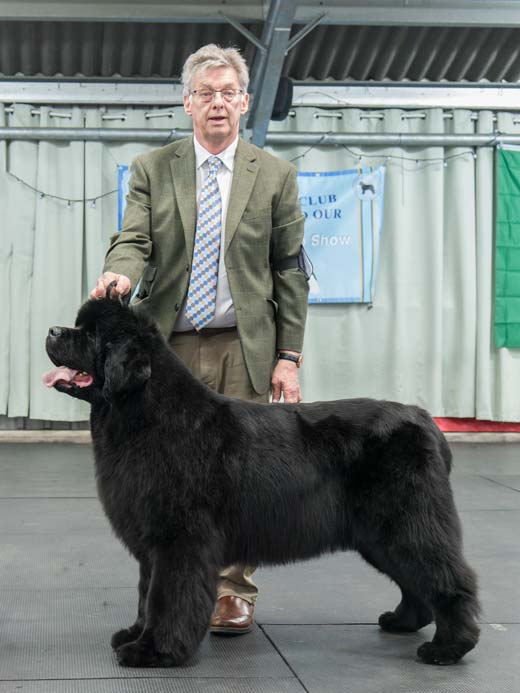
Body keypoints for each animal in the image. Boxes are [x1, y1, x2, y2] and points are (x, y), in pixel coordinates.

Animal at [43, 296, 480, 664]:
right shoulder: (152, 540)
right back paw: (402, 622)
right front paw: (134, 635)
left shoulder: (178, 539)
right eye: (79, 326)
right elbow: (145, 593)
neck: (144, 413)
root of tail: (426, 421)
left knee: (448, 578)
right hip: (382, 535)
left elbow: (166, 596)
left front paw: (154, 651)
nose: (52, 330)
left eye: (91, 335)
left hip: (407, 525)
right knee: (415, 582)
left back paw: (448, 647)